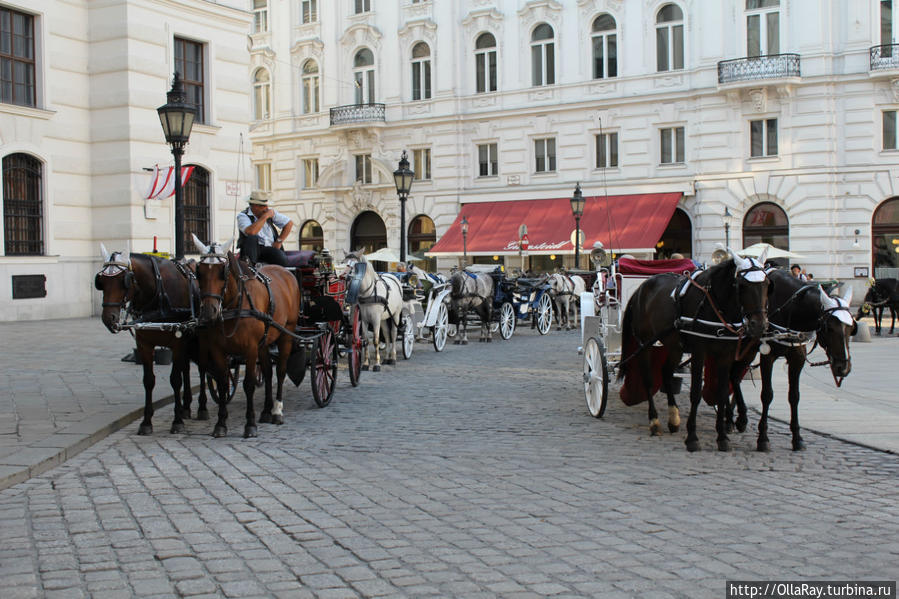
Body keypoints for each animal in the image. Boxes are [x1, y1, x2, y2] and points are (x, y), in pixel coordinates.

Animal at [93, 244, 211, 436]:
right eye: (101, 281)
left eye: (123, 281)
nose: (108, 319)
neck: (159, 295)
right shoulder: (144, 344)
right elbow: (149, 381)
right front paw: (146, 422)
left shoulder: (177, 341)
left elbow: (175, 380)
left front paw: (176, 421)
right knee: (186, 368)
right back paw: (186, 407)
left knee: (201, 368)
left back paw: (201, 408)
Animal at [194, 237, 302, 438]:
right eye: (199, 271)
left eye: (222, 272)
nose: (209, 312)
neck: (235, 303)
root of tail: (286, 272)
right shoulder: (217, 349)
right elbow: (222, 383)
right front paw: (221, 424)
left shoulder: (250, 349)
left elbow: (249, 384)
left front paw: (250, 424)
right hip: (265, 342)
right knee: (267, 371)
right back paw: (266, 411)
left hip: (286, 334)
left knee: (280, 370)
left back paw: (277, 411)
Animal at [620, 254, 772, 454]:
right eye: (742, 285)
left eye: (767, 284)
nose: (759, 325)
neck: (716, 306)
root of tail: (641, 287)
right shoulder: (700, 351)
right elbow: (695, 393)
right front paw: (692, 438)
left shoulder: (726, 355)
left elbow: (722, 392)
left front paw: (722, 437)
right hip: (645, 343)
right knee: (648, 379)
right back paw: (654, 421)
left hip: (674, 346)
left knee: (666, 373)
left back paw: (673, 418)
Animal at [728, 270, 856, 452]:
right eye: (829, 328)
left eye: (851, 328)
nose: (843, 368)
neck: (790, 311)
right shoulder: (767, 356)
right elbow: (767, 395)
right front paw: (763, 438)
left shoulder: (797, 358)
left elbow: (794, 396)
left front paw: (797, 437)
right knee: (731, 375)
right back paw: (736, 419)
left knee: (735, 377)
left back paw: (733, 418)